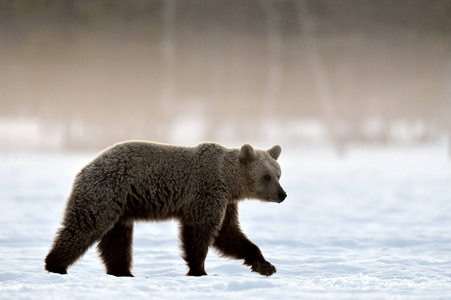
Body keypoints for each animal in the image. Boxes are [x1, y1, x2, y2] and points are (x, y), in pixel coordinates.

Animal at [45, 141, 286, 276]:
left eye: (278, 174)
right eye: (266, 176)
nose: (282, 195)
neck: (229, 180)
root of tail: (84, 168)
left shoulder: (227, 202)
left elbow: (230, 234)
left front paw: (265, 265)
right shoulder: (207, 192)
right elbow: (201, 231)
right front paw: (199, 269)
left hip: (122, 207)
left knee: (117, 240)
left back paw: (122, 271)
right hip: (106, 192)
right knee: (85, 225)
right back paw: (55, 265)